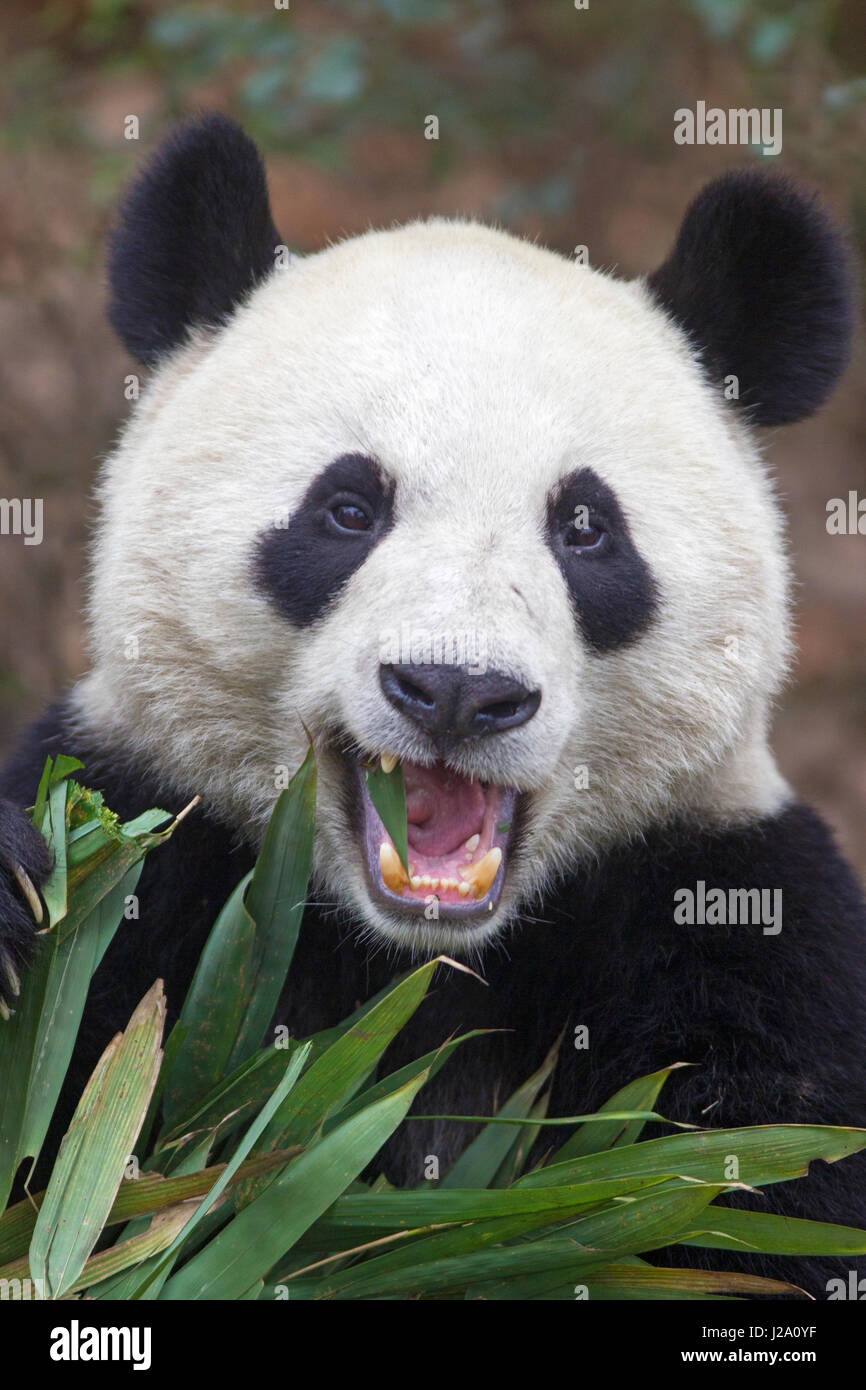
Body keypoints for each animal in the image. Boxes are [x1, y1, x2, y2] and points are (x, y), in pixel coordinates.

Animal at [1, 113, 866, 1295]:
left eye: (585, 526)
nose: (457, 689)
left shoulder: (734, 916)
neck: (421, 960)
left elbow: (763, 1189)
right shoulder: (148, 842)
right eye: (346, 508)